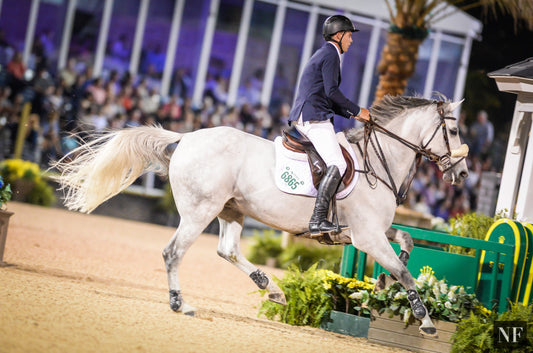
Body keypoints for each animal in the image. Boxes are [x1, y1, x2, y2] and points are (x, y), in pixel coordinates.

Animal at [54, 95, 468, 336]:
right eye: (452, 129)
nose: (462, 174)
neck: (377, 166)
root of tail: (186, 138)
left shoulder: (364, 232)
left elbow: (406, 241)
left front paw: (379, 284)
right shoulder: (366, 236)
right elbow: (403, 272)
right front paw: (425, 319)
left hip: (231, 210)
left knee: (227, 250)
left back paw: (273, 289)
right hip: (200, 211)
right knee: (174, 252)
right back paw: (181, 304)